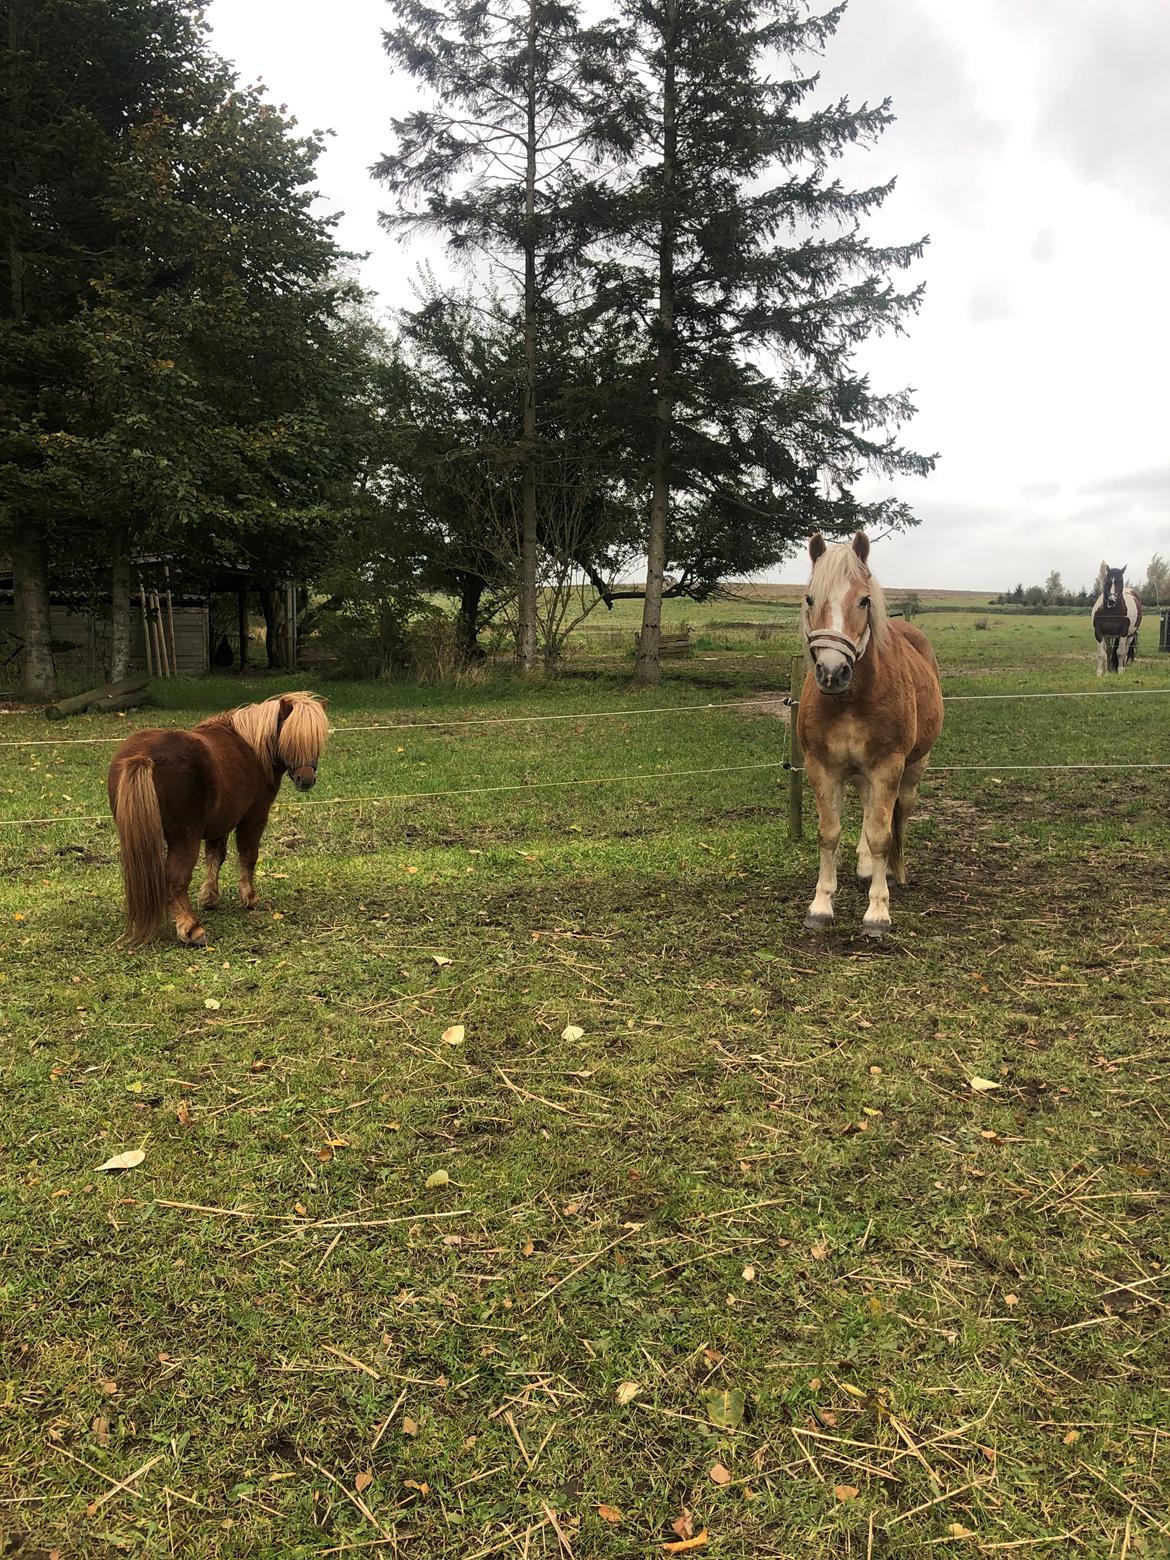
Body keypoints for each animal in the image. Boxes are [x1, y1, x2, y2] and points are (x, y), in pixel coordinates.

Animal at [106, 692, 330, 935]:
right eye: (291, 740)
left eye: (316, 741)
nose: (306, 780)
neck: (250, 746)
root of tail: (142, 757)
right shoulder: (254, 818)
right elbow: (248, 856)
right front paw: (249, 897)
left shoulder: (220, 823)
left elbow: (215, 857)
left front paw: (209, 898)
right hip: (185, 837)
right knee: (176, 877)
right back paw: (191, 927)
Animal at [798, 533, 942, 935]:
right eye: (810, 598)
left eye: (864, 600)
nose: (832, 671)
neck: (851, 699)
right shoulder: (822, 766)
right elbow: (829, 833)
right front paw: (820, 905)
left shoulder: (886, 766)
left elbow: (881, 835)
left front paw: (878, 911)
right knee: (865, 806)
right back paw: (865, 867)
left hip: (914, 766)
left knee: (900, 815)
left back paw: (895, 871)